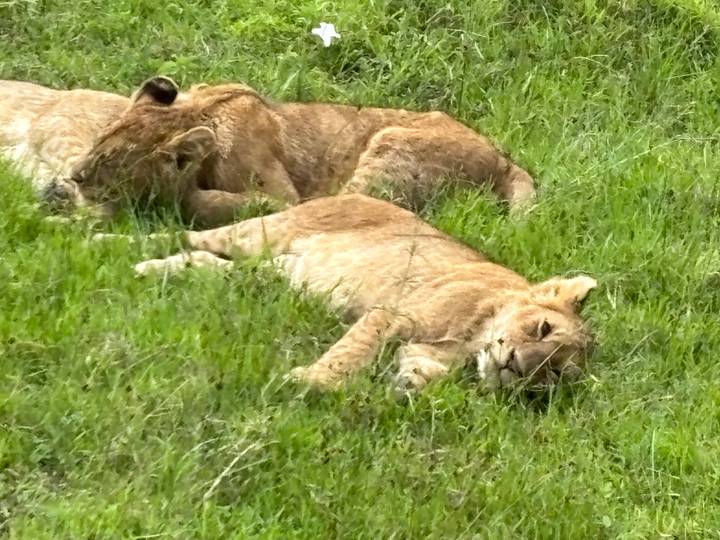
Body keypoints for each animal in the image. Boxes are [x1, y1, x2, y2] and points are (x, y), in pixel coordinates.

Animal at [50, 76, 536, 225]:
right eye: (96, 144)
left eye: (110, 164)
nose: (75, 177)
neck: (196, 111)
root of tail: (504, 158)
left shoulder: (280, 195)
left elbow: (213, 201)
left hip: (387, 144)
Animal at [95, 194, 596, 394]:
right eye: (541, 328)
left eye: (552, 374)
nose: (517, 366)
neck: (474, 341)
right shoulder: (392, 314)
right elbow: (351, 352)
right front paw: (309, 383)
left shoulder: (423, 348)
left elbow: (419, 369)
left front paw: (408, 386)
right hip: (260, 235)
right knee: (186, 235)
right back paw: (100, 241)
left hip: (265, 272)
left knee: (202, 261)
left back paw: (145, 270)